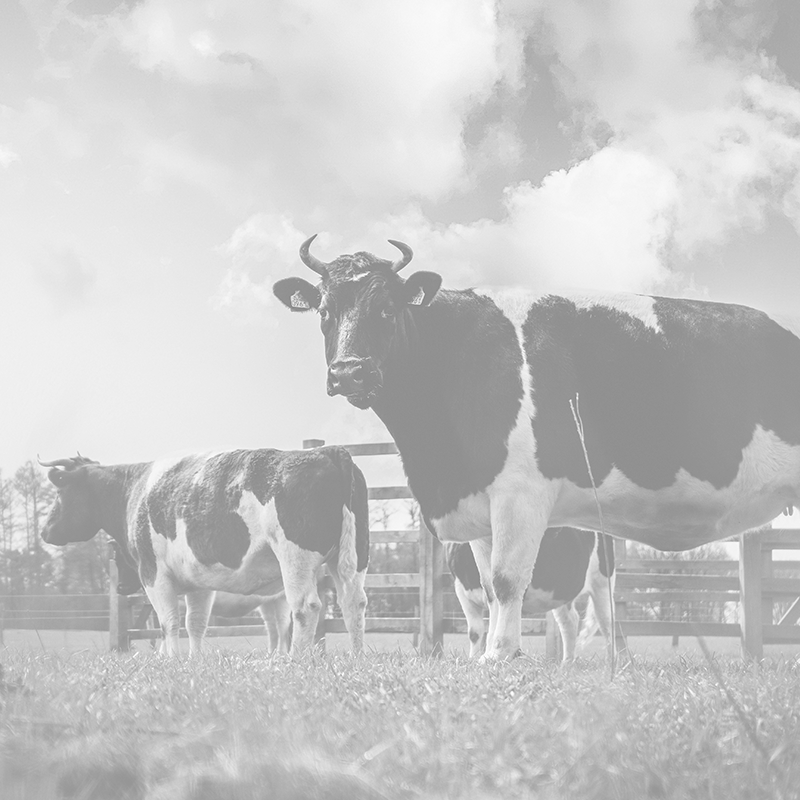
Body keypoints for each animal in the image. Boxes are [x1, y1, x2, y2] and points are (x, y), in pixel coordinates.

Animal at [40, 446, 369, 657]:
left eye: (60, 491)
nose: (45, 530)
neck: (134, 490)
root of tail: (327, 451)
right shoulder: (199, 582)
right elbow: (195, 624)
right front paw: (194, 662)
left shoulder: (153, 573)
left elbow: (168, 623)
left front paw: (171, 661)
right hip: (351, 558)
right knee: (353, 603)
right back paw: (355, 659)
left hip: (294, 559)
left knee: (305, 608)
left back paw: (295, 661)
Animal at [447, 529, 615, 662]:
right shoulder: (462, 592)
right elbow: (475, 632)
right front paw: (474, 658)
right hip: (561, 593)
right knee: (570, 622)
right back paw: (566, 665)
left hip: (602, 584)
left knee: (606, 624)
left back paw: (611, 664)